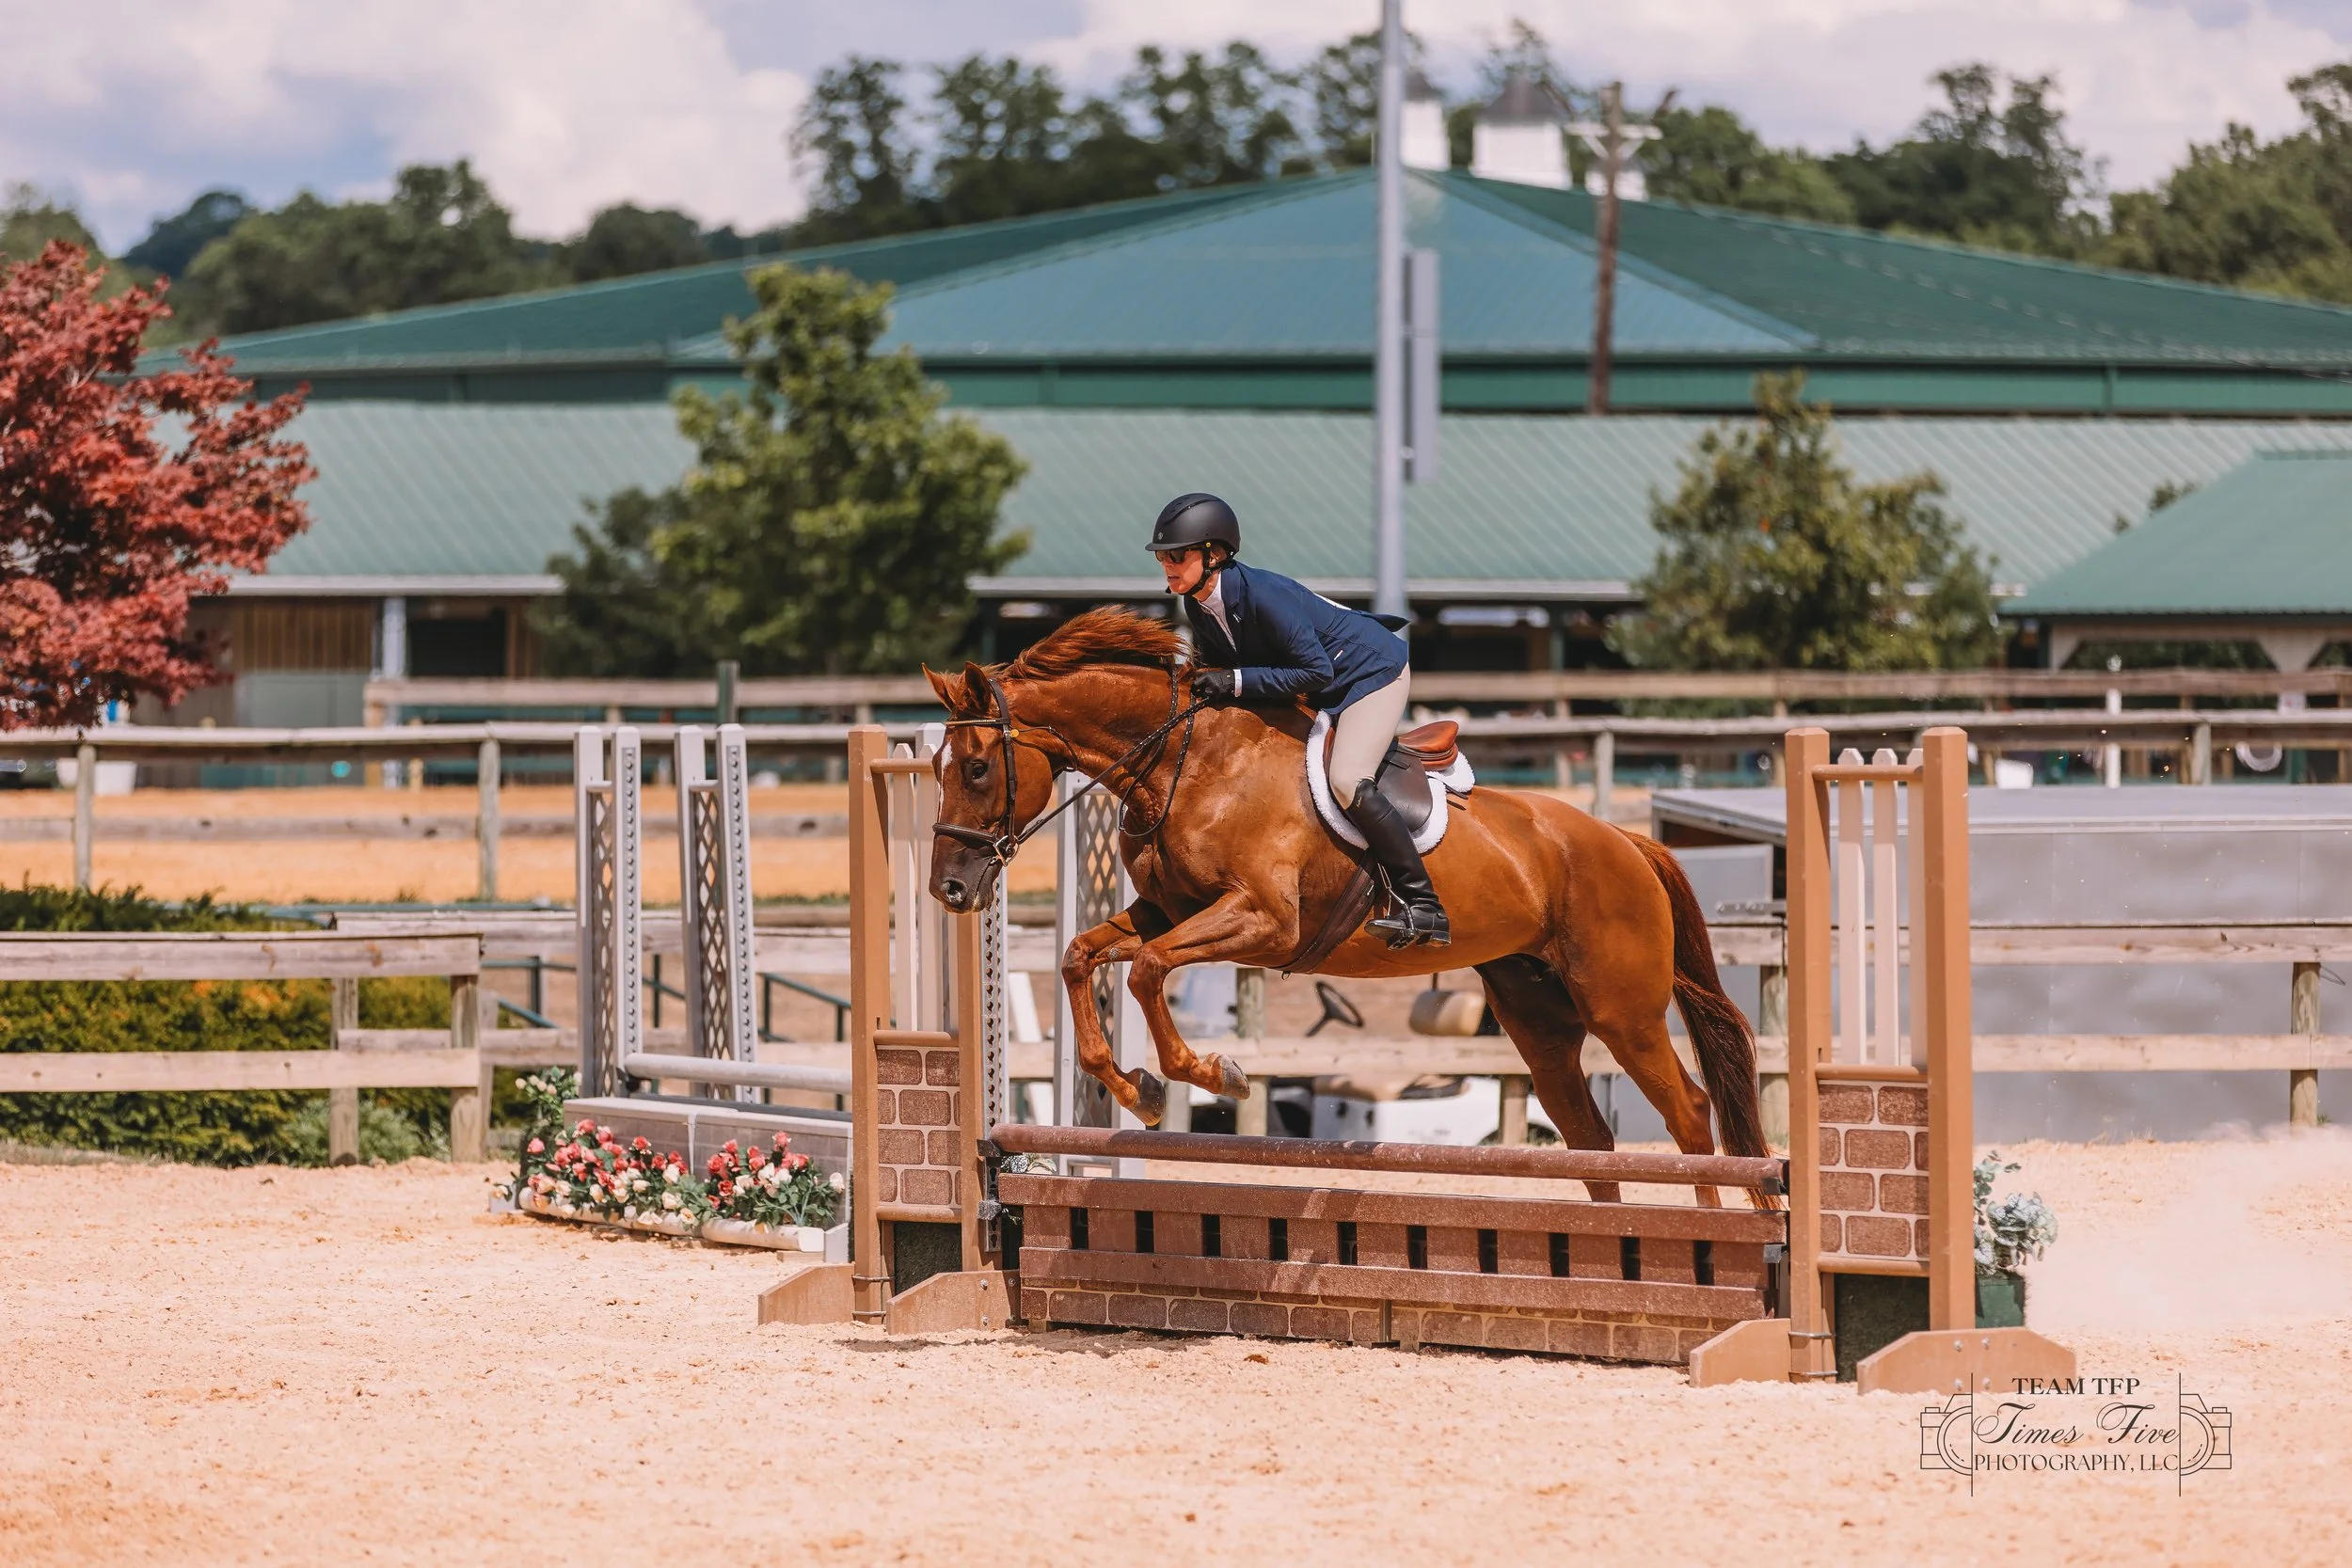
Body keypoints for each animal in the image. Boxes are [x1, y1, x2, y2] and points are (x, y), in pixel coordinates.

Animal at [921, 607, 1767, 1202]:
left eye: (974, 766)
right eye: (935, 767)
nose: (950, 889)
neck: (1184, 762)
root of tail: (1624, 838)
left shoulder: (1264, 921)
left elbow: (1146, 971)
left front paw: (1214, 1073)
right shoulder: (1170, 911)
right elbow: (1084, 956)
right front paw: (1142, 1089)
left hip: (1622, 1009)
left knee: (1691, 1114)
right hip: (1539, 1015)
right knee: (1589, 1136)